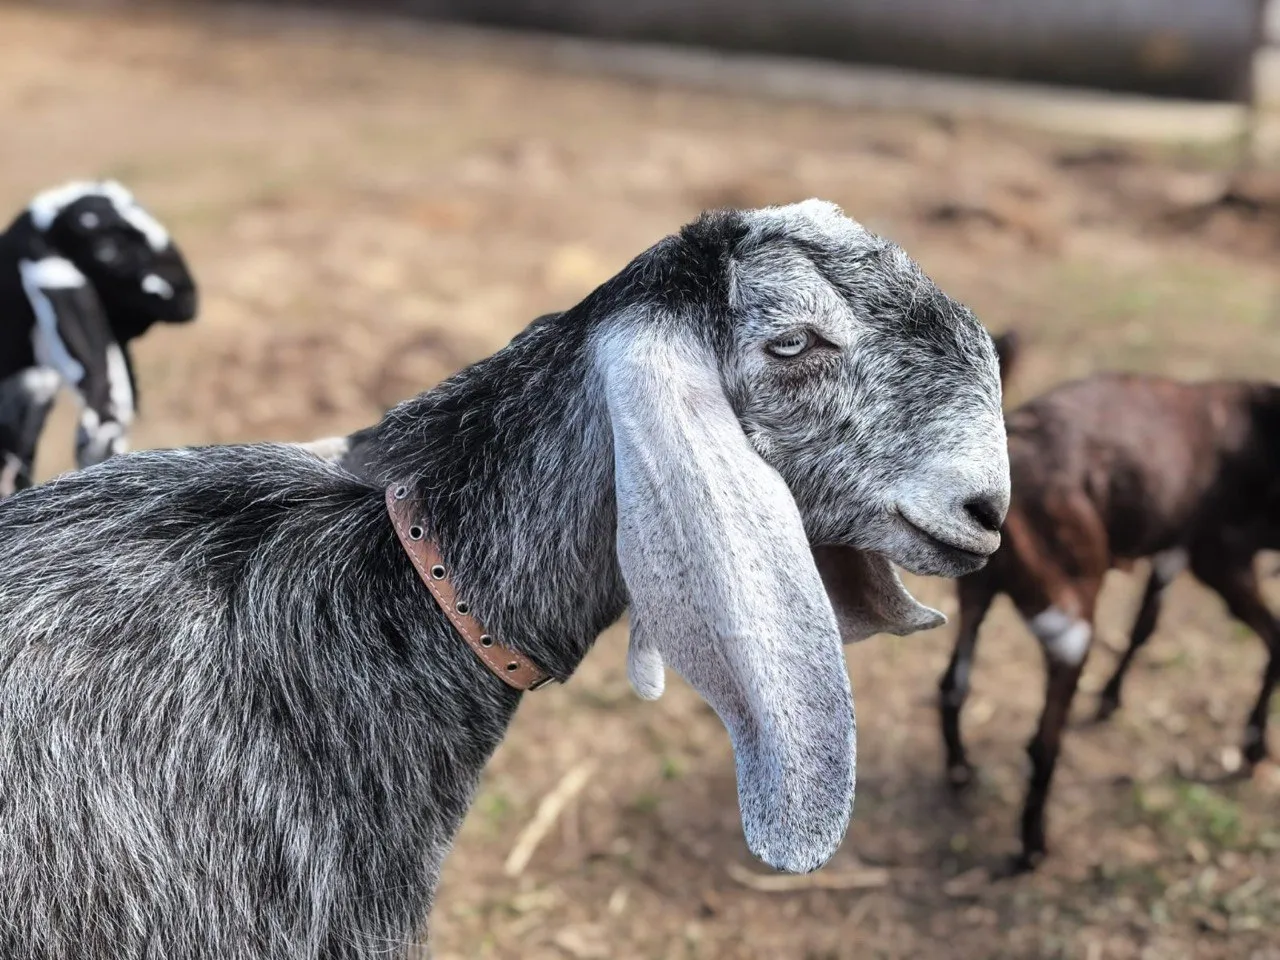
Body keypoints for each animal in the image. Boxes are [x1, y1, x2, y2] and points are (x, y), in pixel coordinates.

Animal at [939, 333, 1280, 870]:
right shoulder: (1220, 559)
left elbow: (1144, 625)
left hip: (977, 593)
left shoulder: (1171, 550)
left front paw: (1110, 698)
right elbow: (1276, 643)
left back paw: (960, 773)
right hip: (1069, 619)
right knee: (1042, 743)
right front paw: (1253, 747)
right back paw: (1032, 846)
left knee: (953, 686)